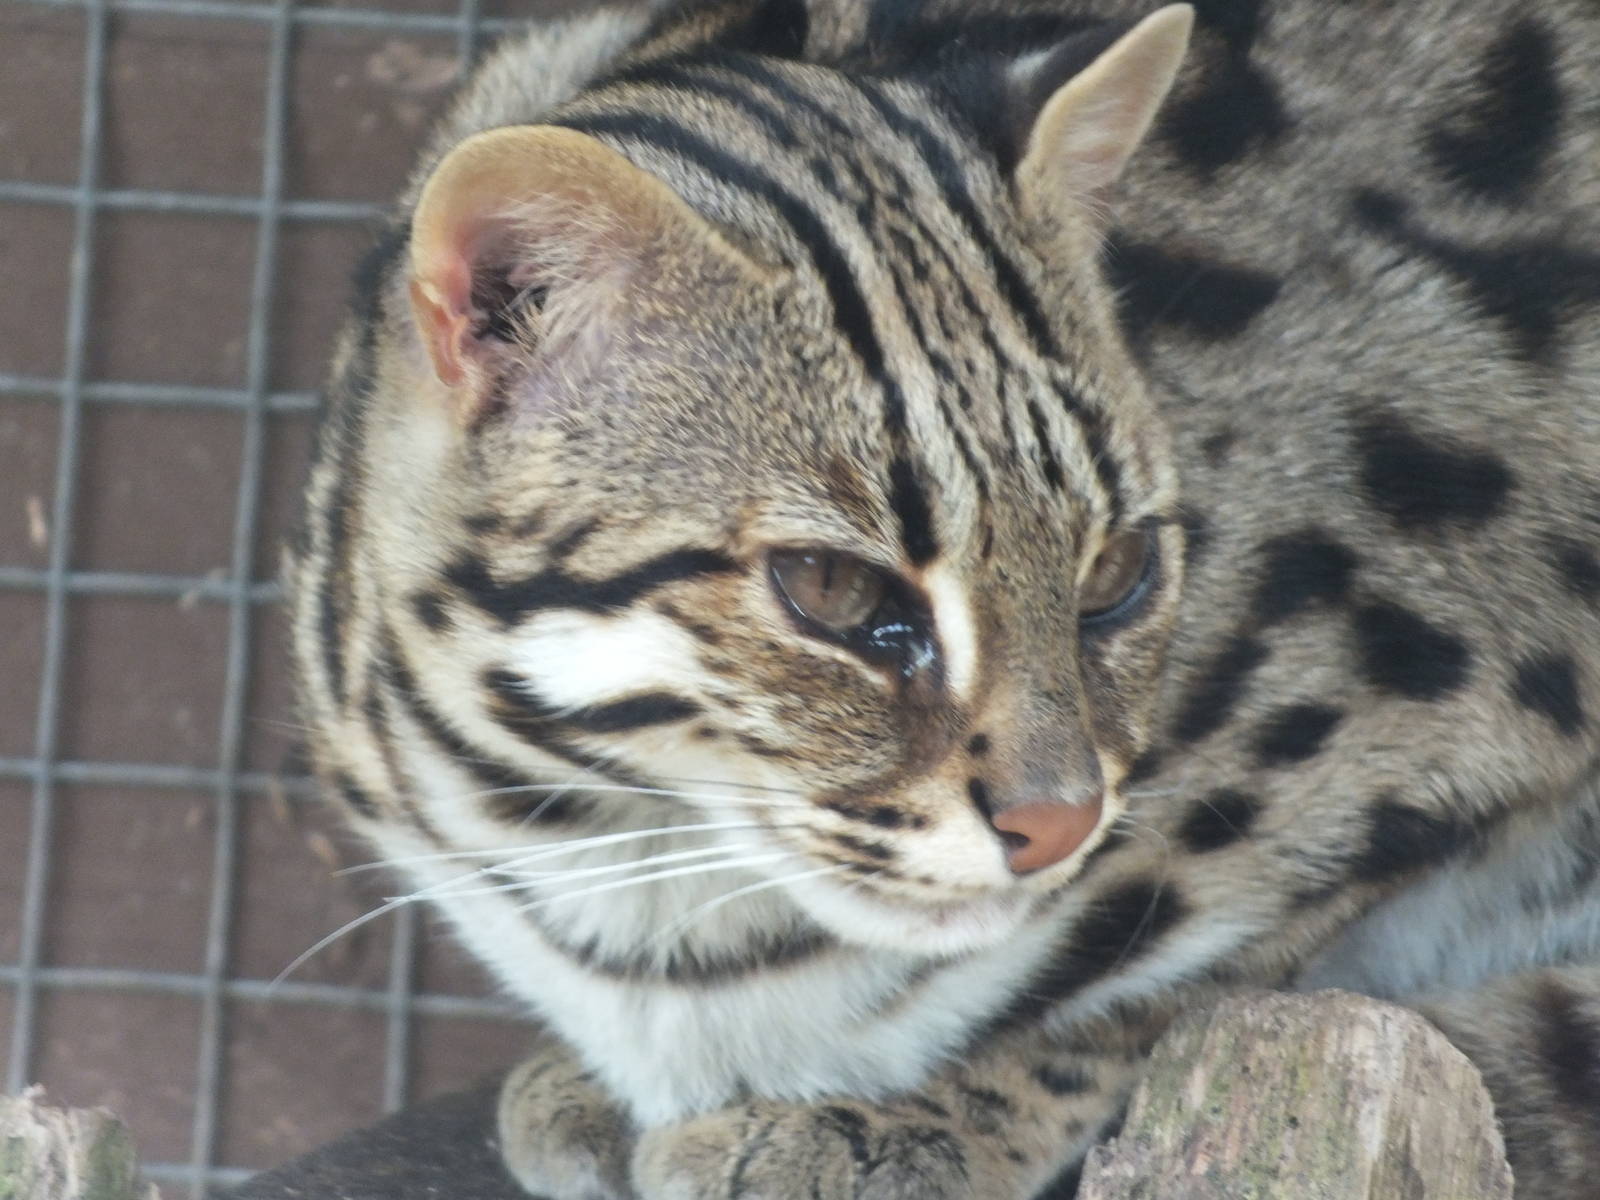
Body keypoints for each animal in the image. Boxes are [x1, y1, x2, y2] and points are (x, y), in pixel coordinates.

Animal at [286, 0, 1600, 1195]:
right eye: (829, 586)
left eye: (1115, 573)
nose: (1059, 825)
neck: (633, 850)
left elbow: (1191, 983)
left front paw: (912, 1117)